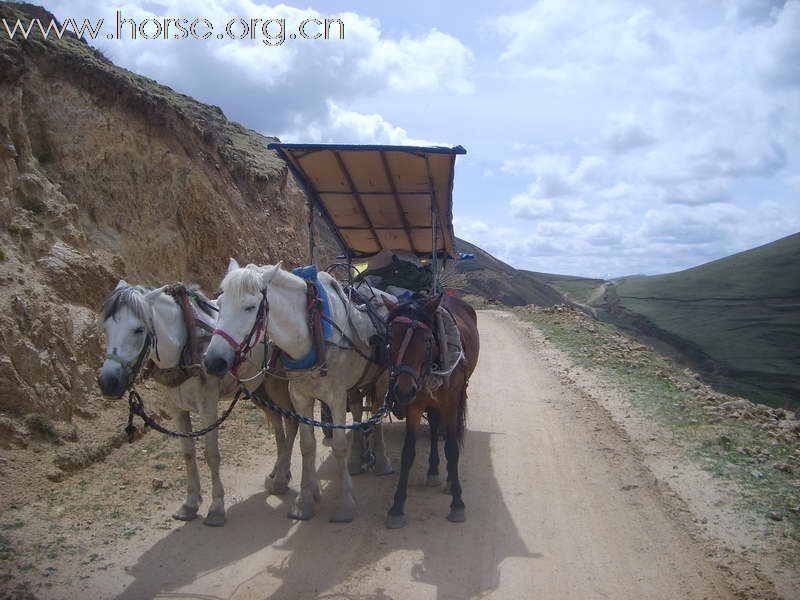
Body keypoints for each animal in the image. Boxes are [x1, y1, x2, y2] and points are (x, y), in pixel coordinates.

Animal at [97, 280, 296, 524]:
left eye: (138, 329)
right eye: (106, 328)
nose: (108, 382)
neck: (185, 346)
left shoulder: (207, 405)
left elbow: (211, 454)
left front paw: (216, 507)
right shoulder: (176, 408)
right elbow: (188, 453)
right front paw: (190, 504)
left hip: (277, 385)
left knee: (292, 422)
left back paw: (282, 478)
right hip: (258, 387)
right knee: (277, 425)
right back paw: (278, 471)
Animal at [206, 260, 394, 524]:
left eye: (250, 307)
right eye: (219, 304)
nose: (213, 361)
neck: (312, 333)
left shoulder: (335, 397)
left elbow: (338, 445)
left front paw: (346, 504)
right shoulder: (300, 396)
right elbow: (307, 445)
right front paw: (304, 502)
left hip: (381, 380)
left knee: (376, 416)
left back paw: (382, 461)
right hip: (356, 385)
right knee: (358, 412)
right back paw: (358, 459)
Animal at [382, 292, 482, 528]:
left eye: (427, 339)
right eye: (390, 338)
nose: (403, 390)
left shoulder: (451, 404)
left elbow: (452, 450)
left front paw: (457, 504)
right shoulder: (414, 406)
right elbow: (408, 453)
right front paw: (397, 508)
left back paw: (448, 481)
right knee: (435, 427)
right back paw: (434, 471)